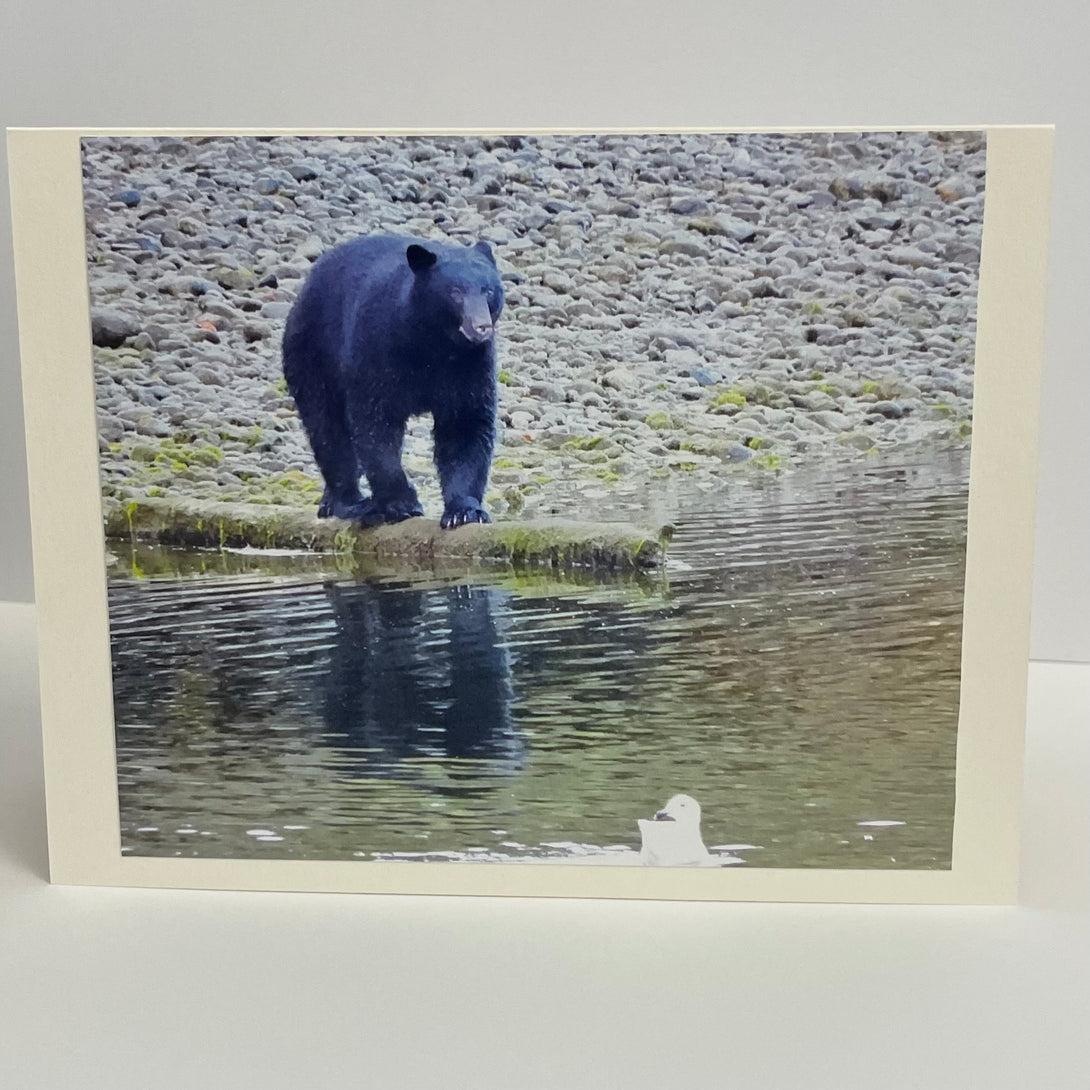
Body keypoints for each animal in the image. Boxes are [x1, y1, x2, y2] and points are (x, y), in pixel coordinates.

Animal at [281, 234, 501, 527]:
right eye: (455, 291)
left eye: (488, 291)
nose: (481, 327)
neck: (434, 343)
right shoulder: (378, 347)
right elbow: (375, 422)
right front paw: (402, 503)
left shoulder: (471, 366)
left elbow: (465, 425)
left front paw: (464, 510)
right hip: (312, 354)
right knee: (327, 430)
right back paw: (353, 503)